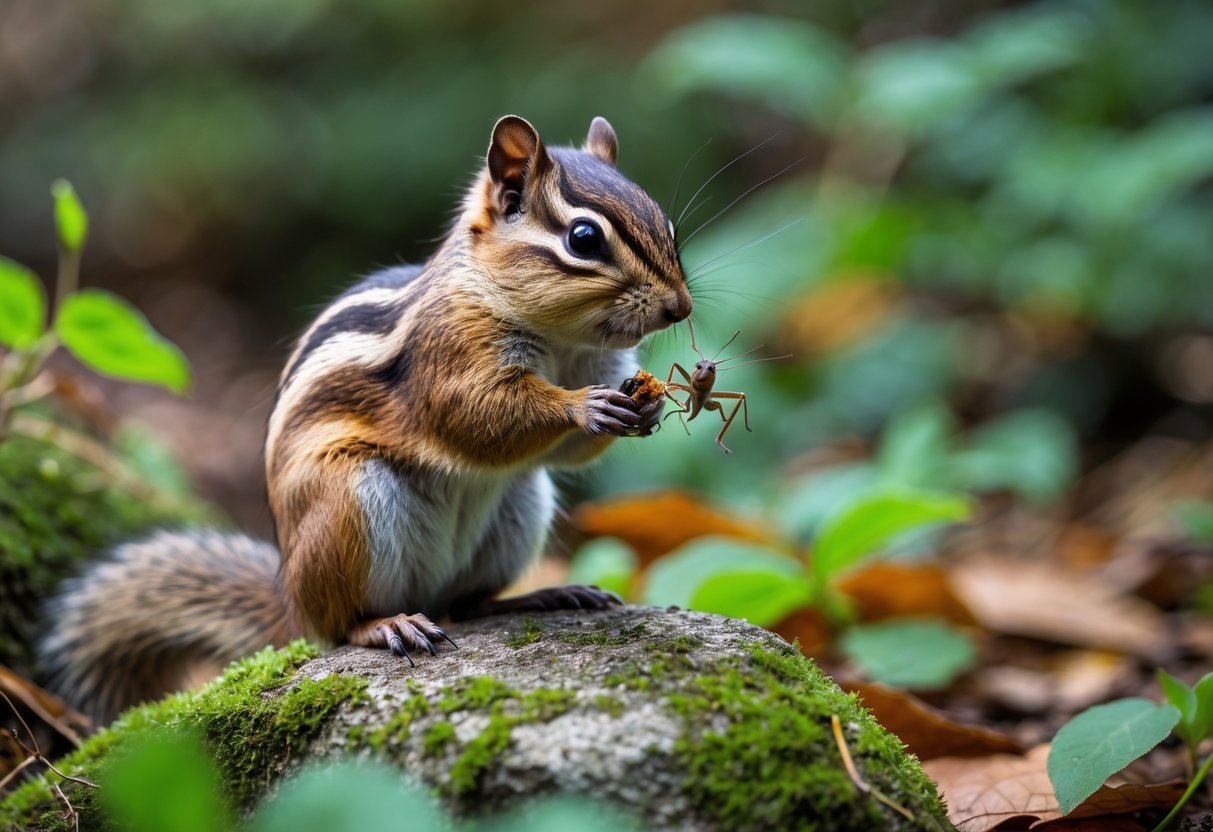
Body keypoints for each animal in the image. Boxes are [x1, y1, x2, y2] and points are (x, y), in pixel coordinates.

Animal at [39, 115, 693, 724]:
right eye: (583, 238)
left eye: (665, 223)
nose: (680, 308)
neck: (561, 342)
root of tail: (290, 599)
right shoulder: (446, 352)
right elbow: (475, 415)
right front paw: (581, 405)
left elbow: (561, 451)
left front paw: (650, 402)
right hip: (349, 501)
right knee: (339, 627)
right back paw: (387, 626)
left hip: (520, 505)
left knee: (467, 604)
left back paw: (542, 597)